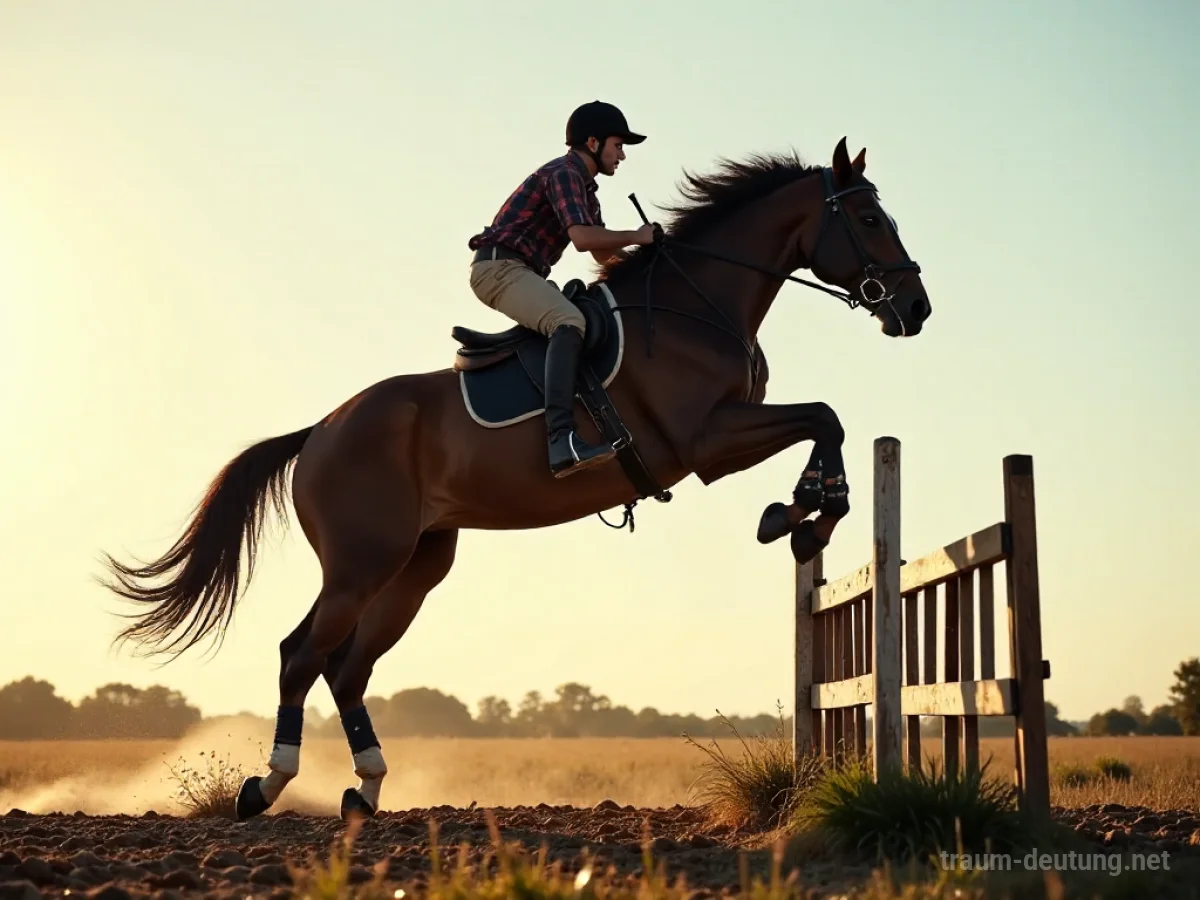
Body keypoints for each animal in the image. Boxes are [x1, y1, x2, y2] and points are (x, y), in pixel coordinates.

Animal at [98, 136, 931, 822]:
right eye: (869, 218)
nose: (916, 309)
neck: (698, 307)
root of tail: (321, 431)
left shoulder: (721, 435)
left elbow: (826, 421)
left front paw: (805, 514)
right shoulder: (704, 443)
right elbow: (824, 416)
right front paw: (802, 516)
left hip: (418, 564)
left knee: (348, 666)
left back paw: (366, 788)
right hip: (363, 561)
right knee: (301, 656)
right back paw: (265, 787)